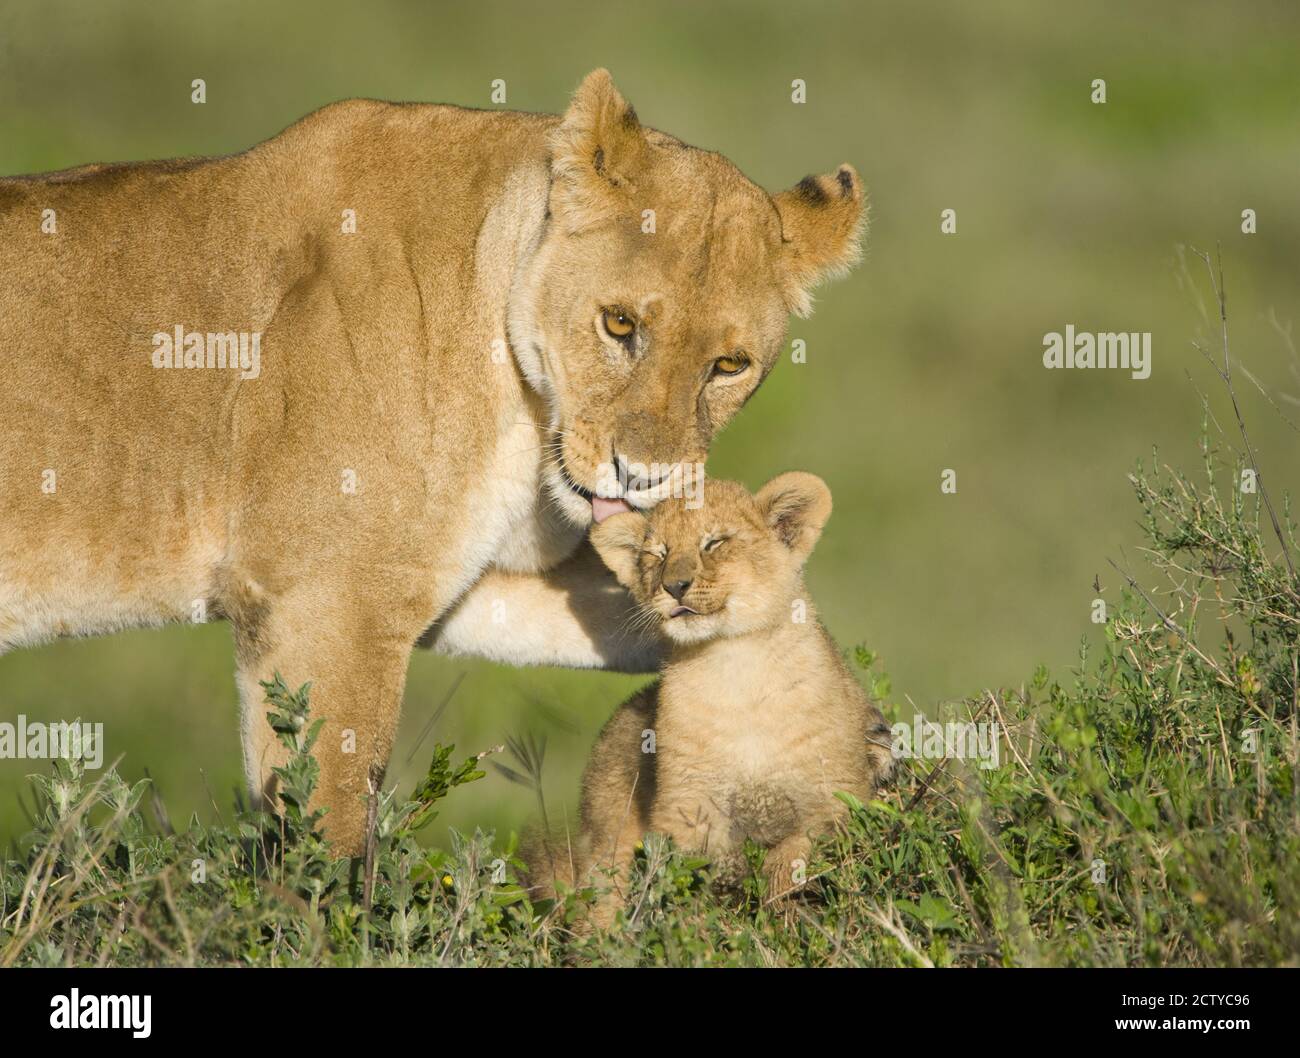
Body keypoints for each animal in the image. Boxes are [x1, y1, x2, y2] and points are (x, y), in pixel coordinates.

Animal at [0, 70, 865, 854]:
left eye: (729, 365)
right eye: (619, 325)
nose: (647, 477)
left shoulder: (458, 583)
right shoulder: (326, 603)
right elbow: (330, 836)